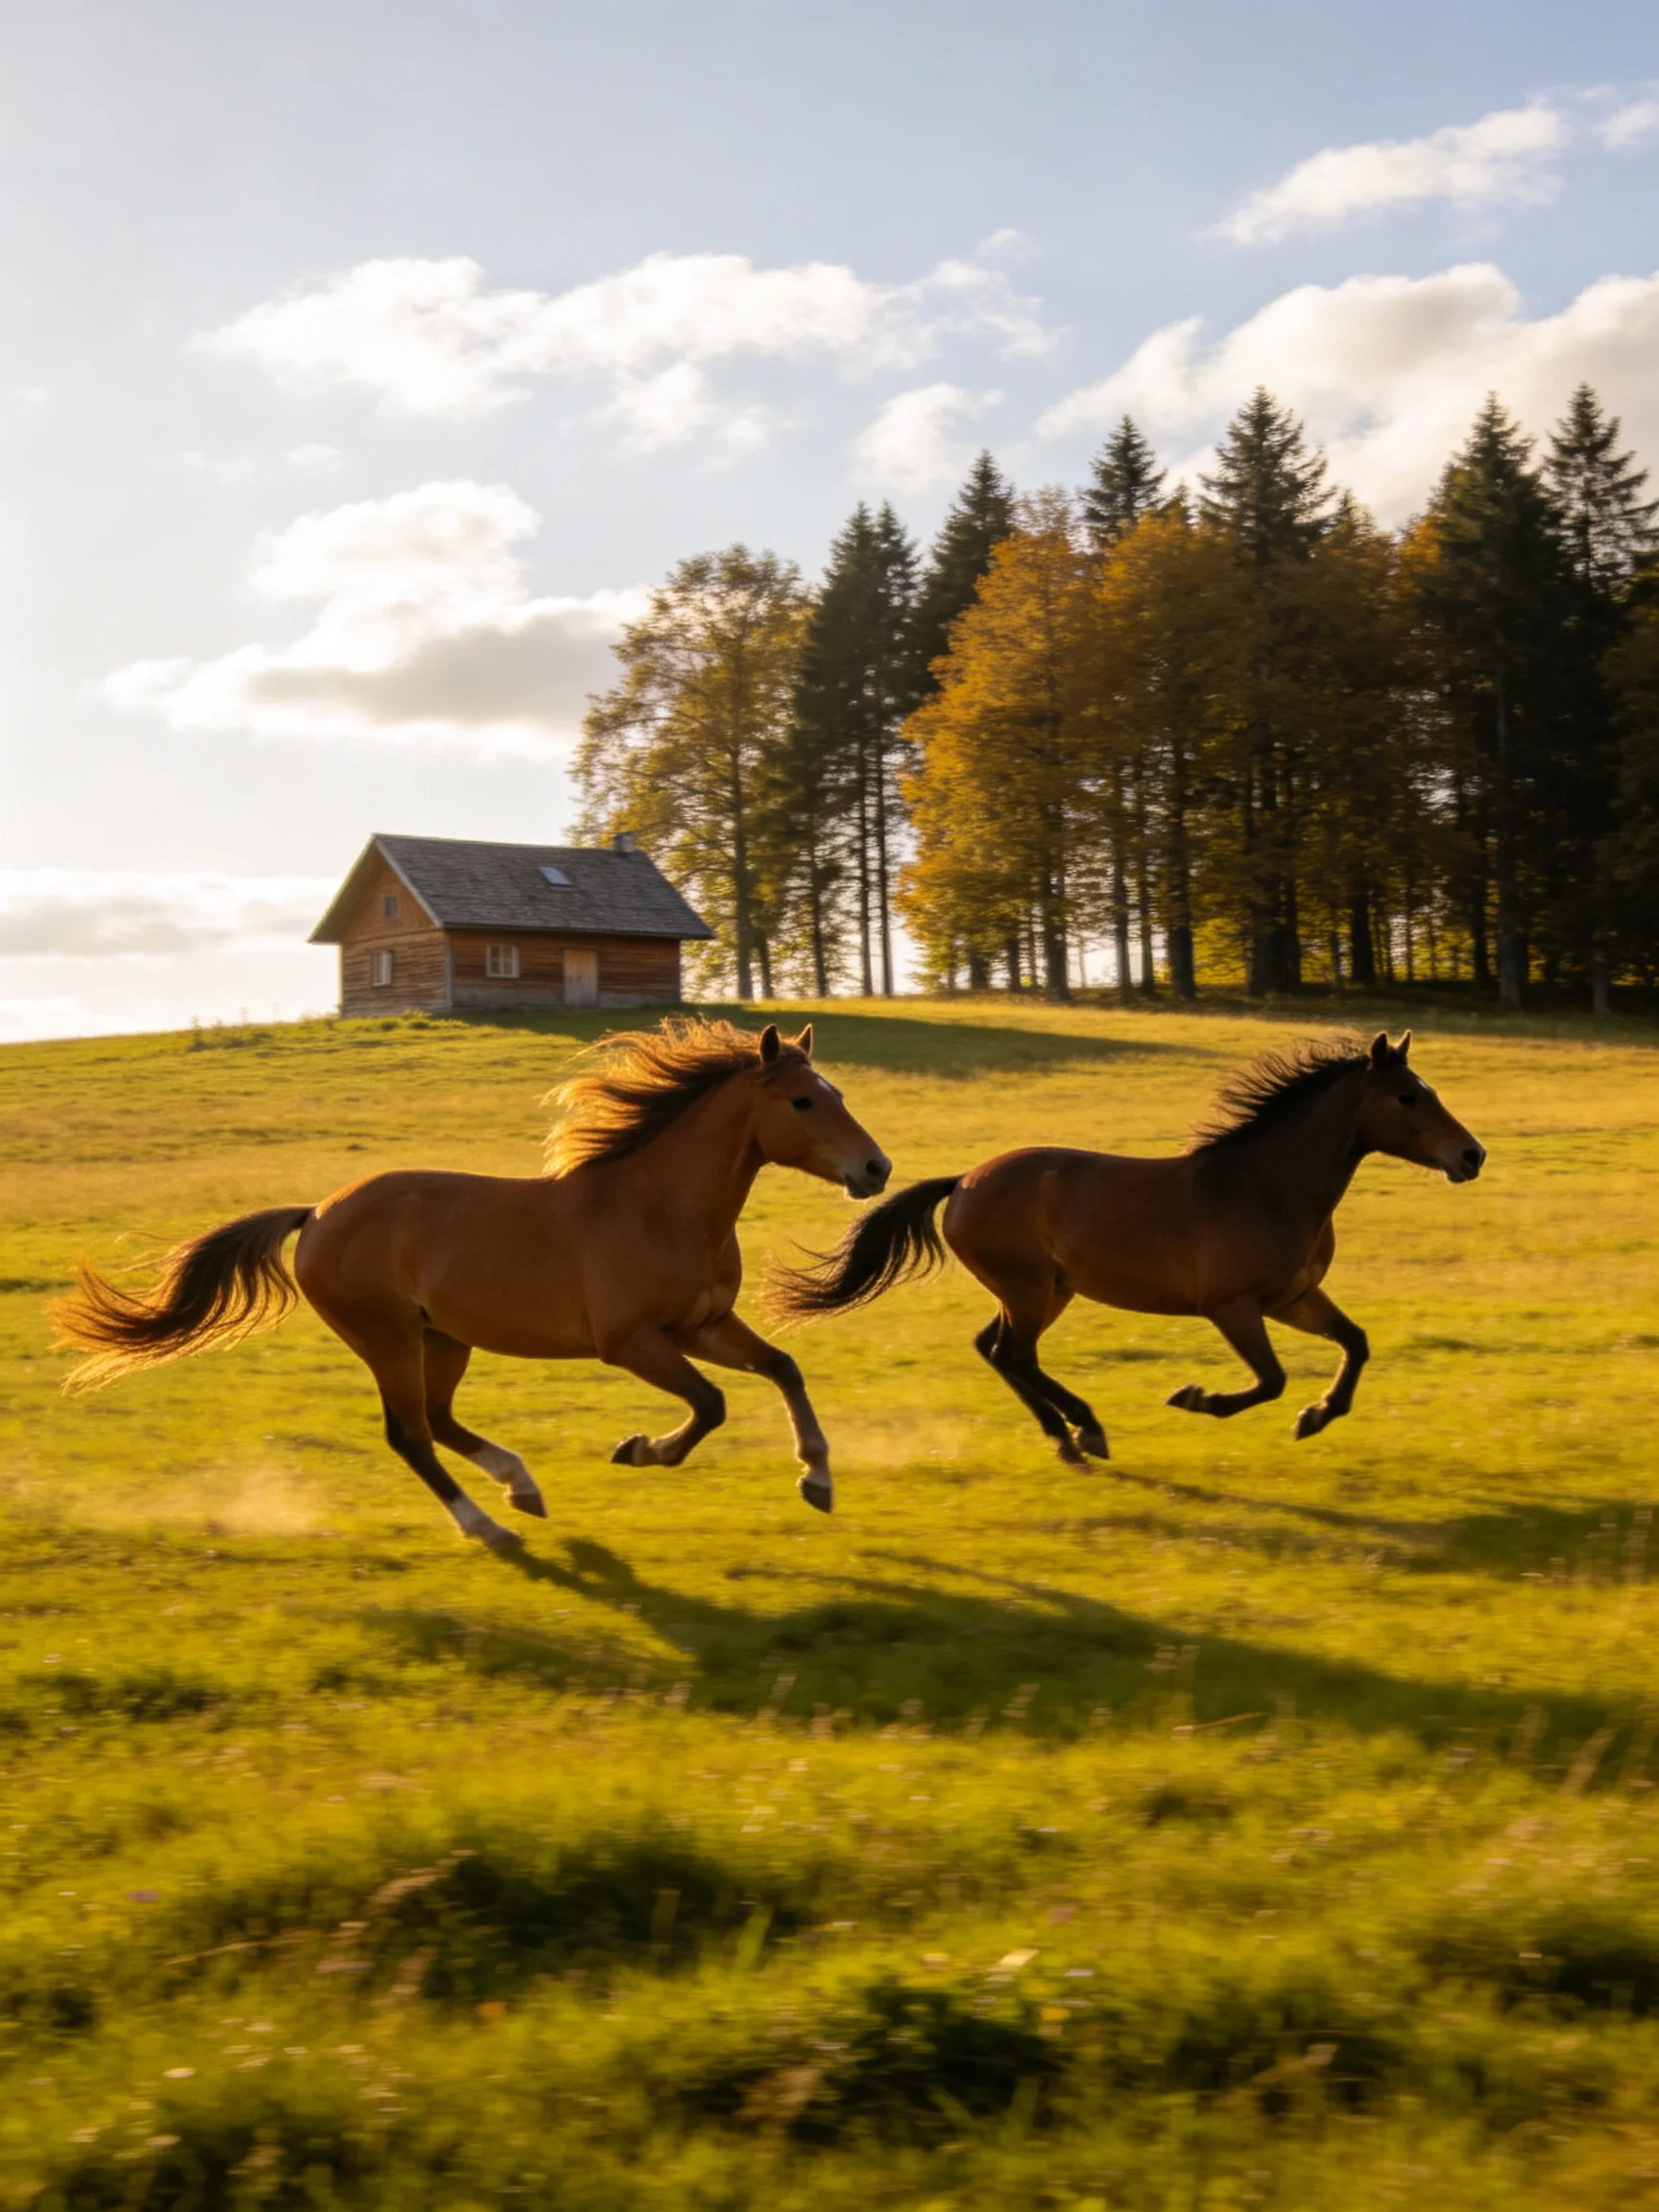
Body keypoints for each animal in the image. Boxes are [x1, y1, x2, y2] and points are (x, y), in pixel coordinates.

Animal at [55, 1019, 891, 1542]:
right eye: (803, 1100)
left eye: (841, 1095)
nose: (876, 1168)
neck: (660, 1207)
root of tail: (317, 1213)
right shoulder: (632, 1343)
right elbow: (711, 1405)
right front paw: (639, 1449)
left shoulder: (702, 1326)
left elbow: (783, 1367)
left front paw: (817, 1478)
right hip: (387, 1336)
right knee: (410, 1433)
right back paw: (487, 1525)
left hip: (444, 1338)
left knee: (440, 1420)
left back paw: (520, 1487)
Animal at [770, 1030, 1484, 1462]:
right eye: (1409, 1096)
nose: (1472, 1155)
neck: (1268, 1186)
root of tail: (964, 1181)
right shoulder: (1232, 1306)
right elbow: (1271, 1379)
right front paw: (1200, 1399)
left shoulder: (1293, 1297)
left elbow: (1355, 1344)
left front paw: (1317, 1415)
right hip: (1029, 1289)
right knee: (1014, 1354)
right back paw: (1084, 1428)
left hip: (1046, 1291)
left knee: (996, 1350)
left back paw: (1064, 1435)